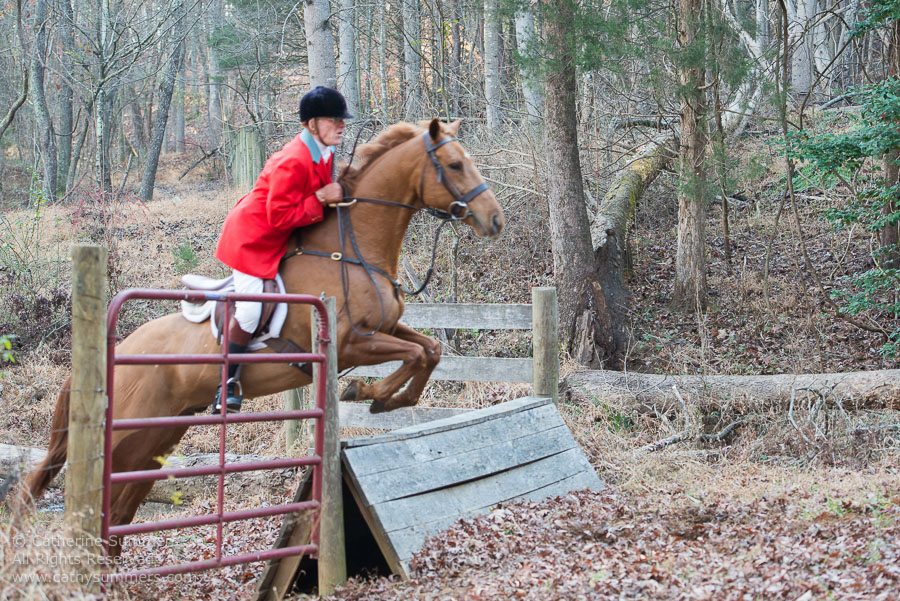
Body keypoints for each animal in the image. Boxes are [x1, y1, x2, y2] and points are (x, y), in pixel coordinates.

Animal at [21, 118, 502, 548]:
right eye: (455, 165)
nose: (494, 220)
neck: (352, 250)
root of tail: (118, 349)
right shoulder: (351, 343)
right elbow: (416, 355)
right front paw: (368, 393)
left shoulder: (383, 329)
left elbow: (430, 349)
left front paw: (387, 399)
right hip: (128, 428)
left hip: (158, 435)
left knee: (118, 512)